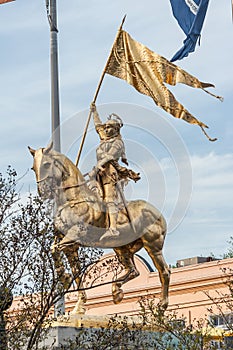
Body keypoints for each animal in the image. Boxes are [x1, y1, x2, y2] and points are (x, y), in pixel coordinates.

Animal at [28, 144, 171, 314]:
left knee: (164, 272)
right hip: (121, 248)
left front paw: (66, 279)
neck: (74, 198)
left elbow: (55, 251)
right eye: (33, 167)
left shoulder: (74, 235)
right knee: (133, 271)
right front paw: (78, 305)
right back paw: (116, 291)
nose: (43, 191)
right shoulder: (70, 246)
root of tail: (158, 213)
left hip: (153, 246)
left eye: (46, 164)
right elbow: (72, 269)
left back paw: (161, 307)